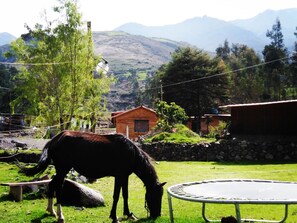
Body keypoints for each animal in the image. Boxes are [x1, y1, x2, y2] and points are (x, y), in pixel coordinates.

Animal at [19, 131, 165, 223]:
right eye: (156, 195)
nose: (157, 215)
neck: (131, 153)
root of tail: (55, 139)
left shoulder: (124, 177)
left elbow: (125, 195)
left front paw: (128, 214)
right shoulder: (119, 176)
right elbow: (117, 196)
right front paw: (114, 217)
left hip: (61, 170)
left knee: (51, 184)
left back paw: (51, 211)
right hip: (62, 169)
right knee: (58, 187)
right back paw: (60, 216)